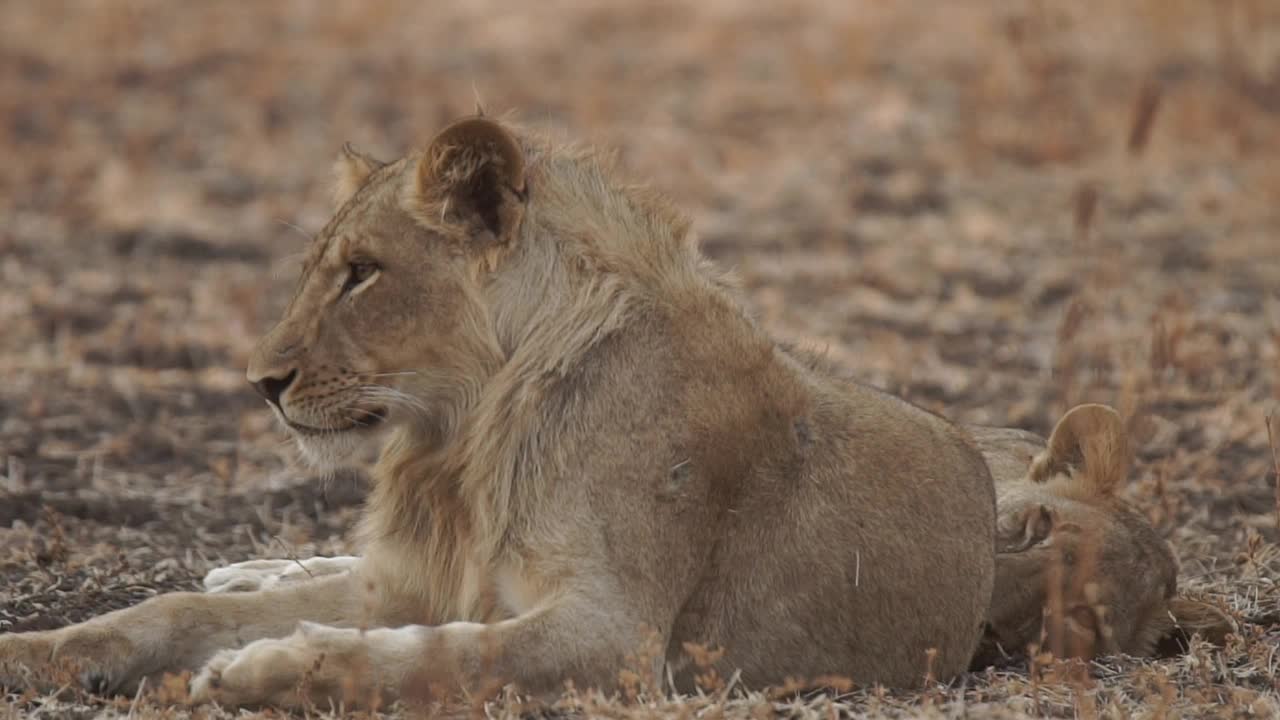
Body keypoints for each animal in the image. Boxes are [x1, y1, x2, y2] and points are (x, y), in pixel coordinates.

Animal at [0, 114, 998, 702]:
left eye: (363, 273)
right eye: (322, 267)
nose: (260, 382)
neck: (462, 441)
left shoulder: (618, 639)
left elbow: (440, 654)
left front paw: (266, 668)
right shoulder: (406, 580)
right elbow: (163, 612)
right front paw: (32, 653)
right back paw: (249, 572)